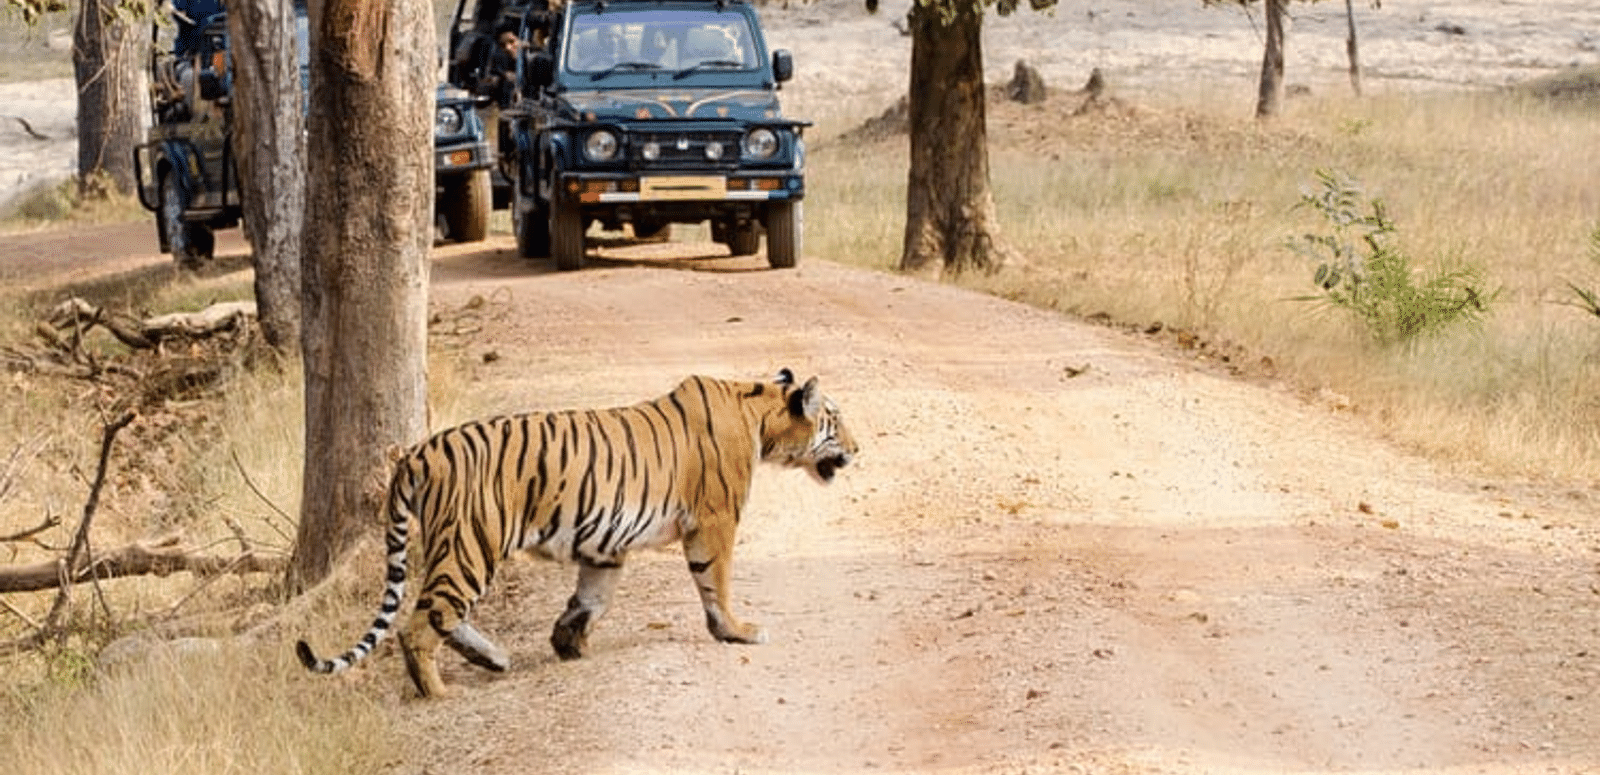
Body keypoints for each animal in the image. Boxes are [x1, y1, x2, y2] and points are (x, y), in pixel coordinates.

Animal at [294, 368, 857, 694]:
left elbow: (592, 598)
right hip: (470, 545)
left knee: (437, 614)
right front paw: (738, 632)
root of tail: (416, 452)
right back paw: (438, 691)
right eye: (835, 419)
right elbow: (715, 584)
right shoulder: (714, 521)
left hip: (460, 548)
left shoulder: (606, 543)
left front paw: (568, 642)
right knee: (421, 622)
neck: (759, 415)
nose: (859, 447)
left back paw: (493, 658)